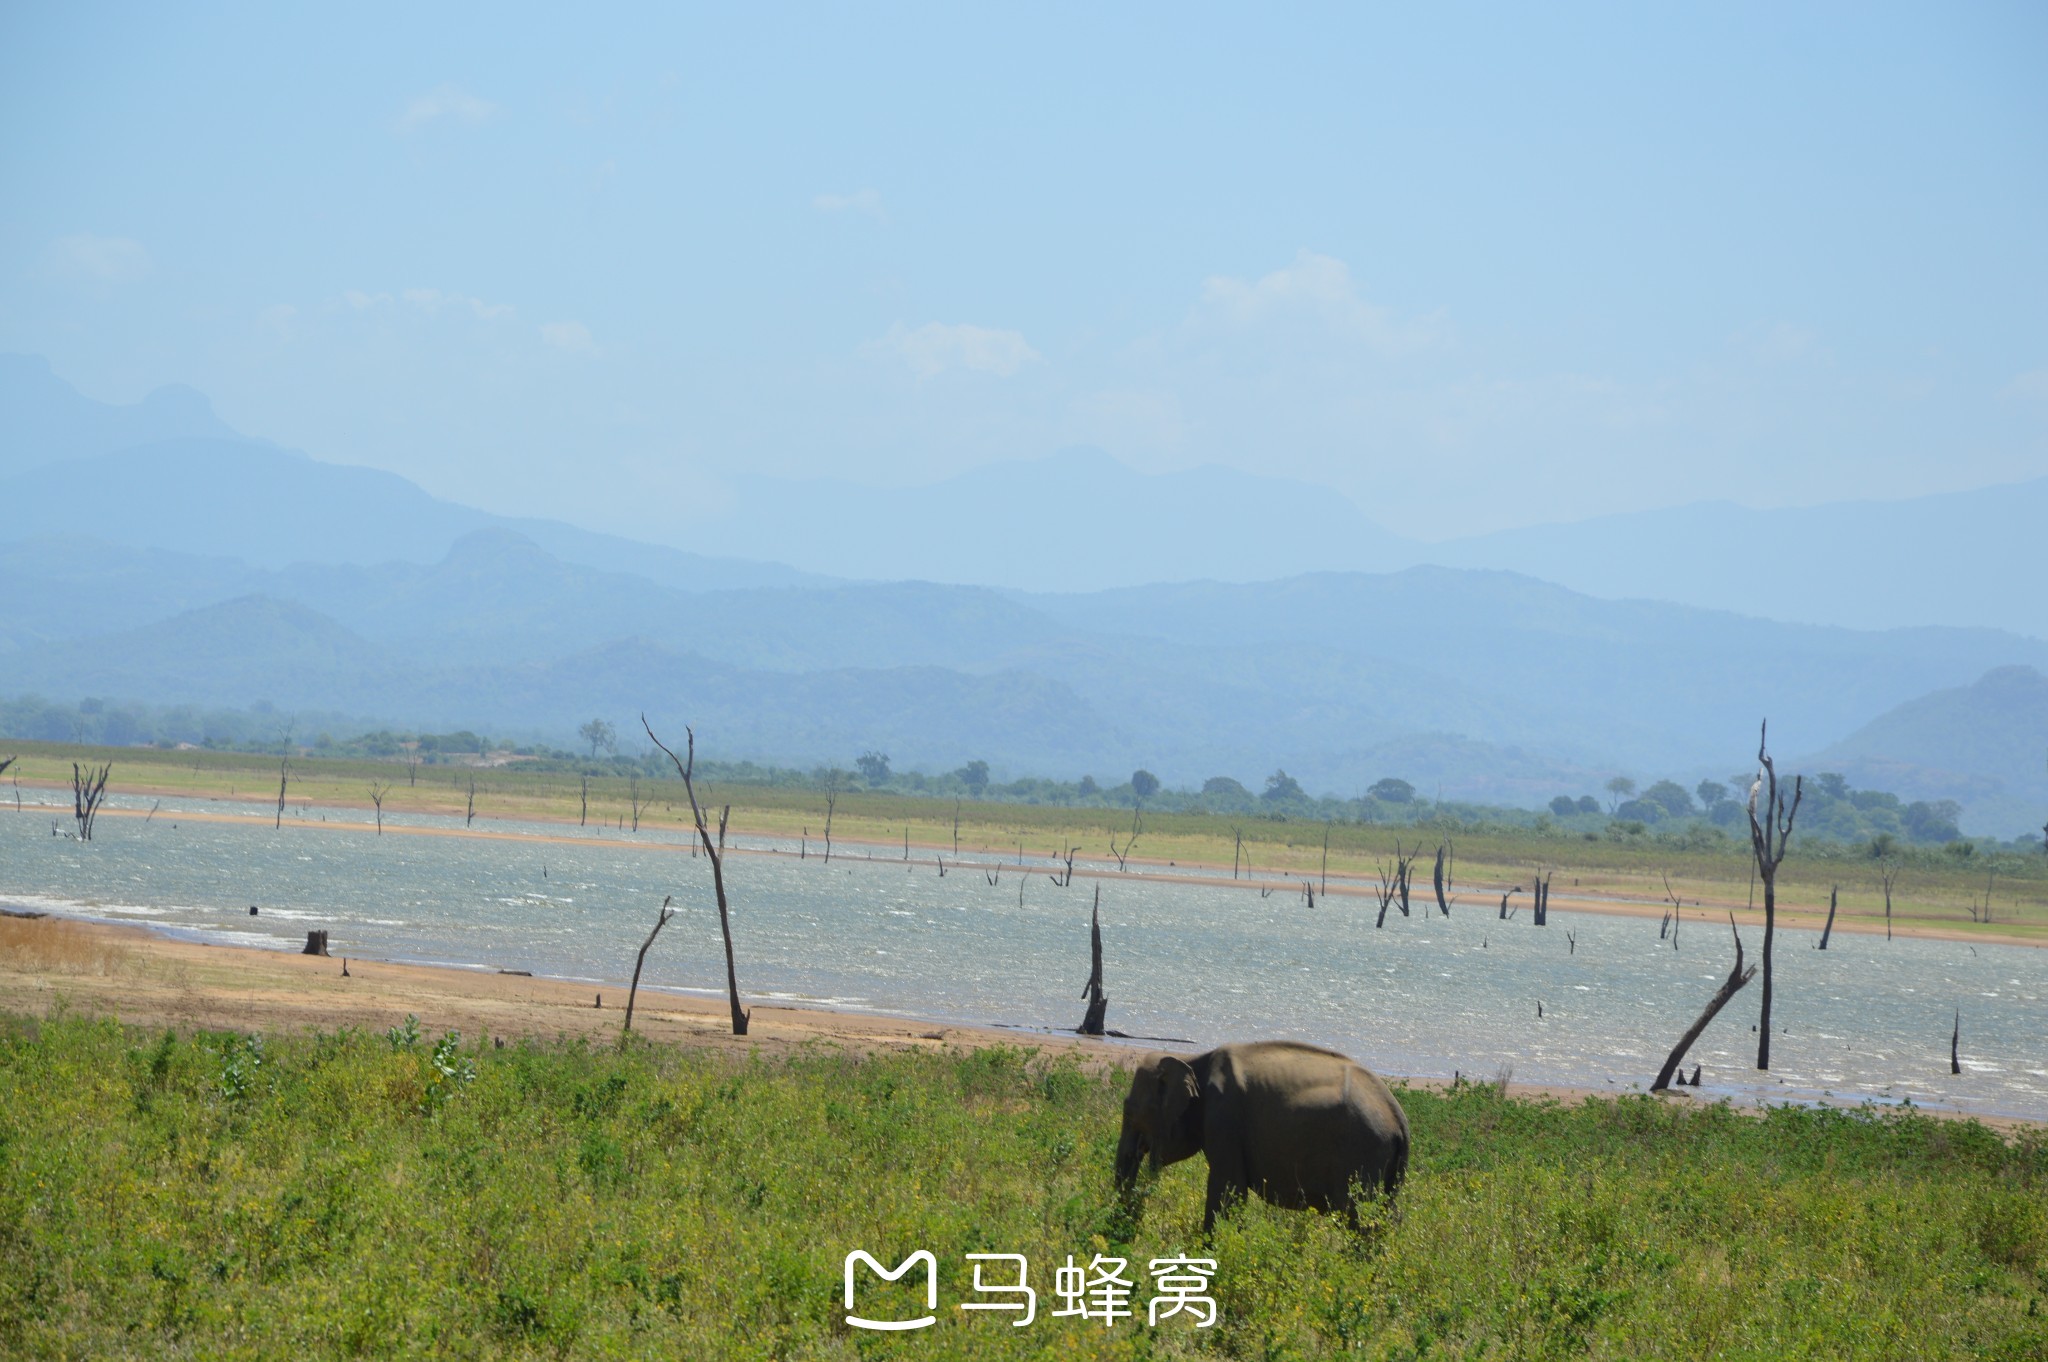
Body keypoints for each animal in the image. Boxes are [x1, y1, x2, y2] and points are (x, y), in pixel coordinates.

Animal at [1122, 1040, 1409, 1228]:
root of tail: (1399, 1117)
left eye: (1132, 1111)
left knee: (1357, 1216)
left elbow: (1228, 1189)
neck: (1193, 1058)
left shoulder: (1224, 1117)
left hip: (1362, 1153)